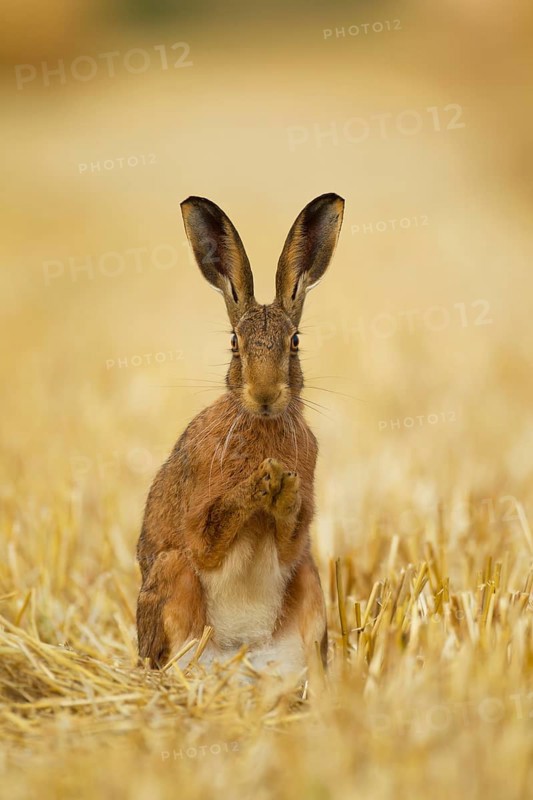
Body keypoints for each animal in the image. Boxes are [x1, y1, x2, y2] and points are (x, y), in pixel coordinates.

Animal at [136, 193, 344, 676]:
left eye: (295, 342)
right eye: (234, 342)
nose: (265, 395)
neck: (260, 422)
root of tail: (243, 655)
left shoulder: (296, 543)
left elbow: (289, 536)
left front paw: (282, 490)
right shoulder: (197, 525)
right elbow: (210, 535)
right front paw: (261, 482)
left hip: (310, 584)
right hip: (173, 575)